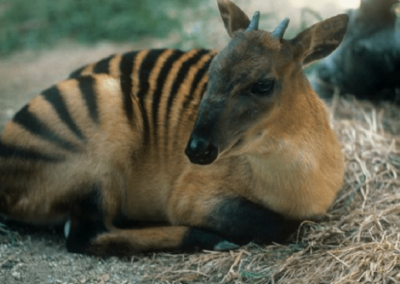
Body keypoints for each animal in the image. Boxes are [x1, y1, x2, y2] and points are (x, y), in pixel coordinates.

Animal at [0, 0, 346, 255]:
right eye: (211, 73)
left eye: (263, 84)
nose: (197, 149)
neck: (298, 188)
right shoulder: (189, 198)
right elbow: (281, 225)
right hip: (102, 132)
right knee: (85, 235)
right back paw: (208, 239)